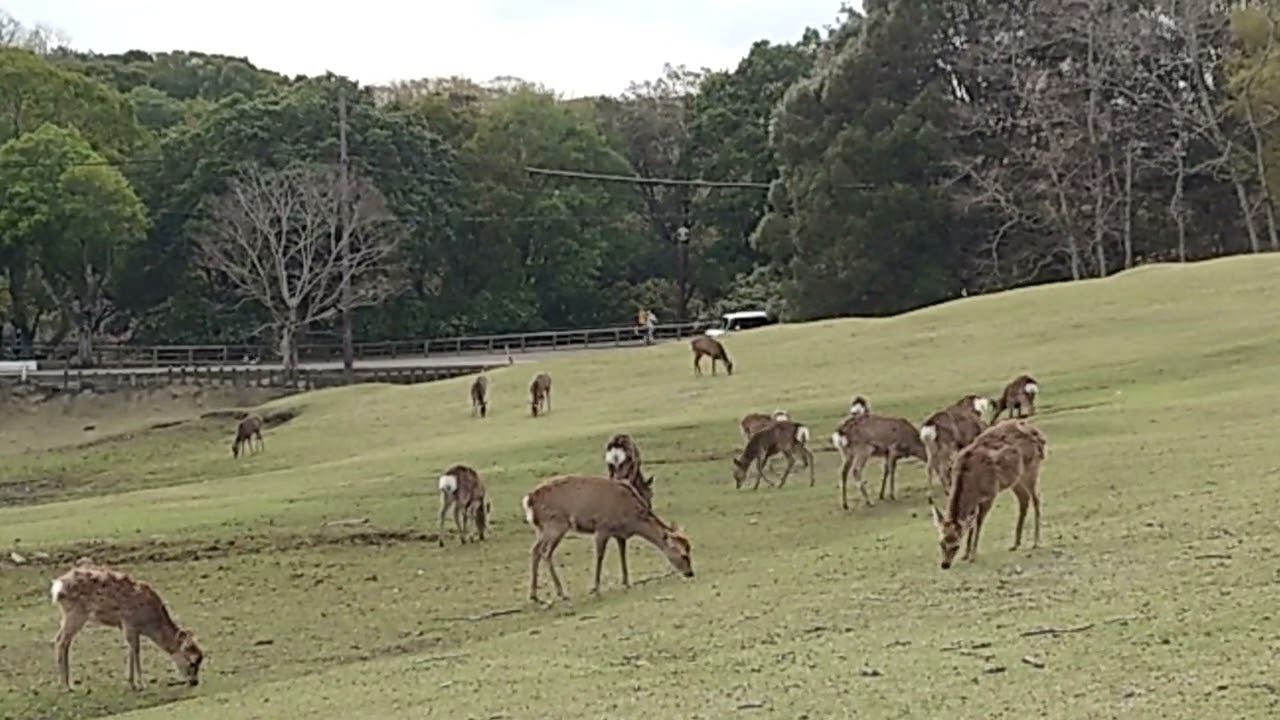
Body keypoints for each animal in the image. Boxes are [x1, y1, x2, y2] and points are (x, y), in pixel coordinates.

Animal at [50, 565, 204, 691]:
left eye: (200, 659)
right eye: (192, 662)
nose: (195, 682)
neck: (150, 623)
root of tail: (57, 587)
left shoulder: (129, 628)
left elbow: (130, 650)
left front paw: (132, 683)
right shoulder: (129, 622)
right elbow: (136, 650)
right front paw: (141, 683)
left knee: (64, 641)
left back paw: (66, 683)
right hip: (75, 613)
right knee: (61, 640)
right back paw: (66, 686)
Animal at [522, 474, 693, 603]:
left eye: (689, 550)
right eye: (683, 555)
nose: (690, 573)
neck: (631, 520)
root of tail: (529, 500)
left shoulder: (619, 533)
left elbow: (623, 553)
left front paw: (626, 582)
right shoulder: (602, 527)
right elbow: (600, 556)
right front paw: (596, 588)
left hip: (541, 528)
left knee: (535, 550)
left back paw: (534, 595)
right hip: (556, 525)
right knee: (545, 552)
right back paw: (562, 593)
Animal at [928, 418, 1046, 569]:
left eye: (956, 546)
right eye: (941, 543)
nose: (945, 564)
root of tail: (1039, 436)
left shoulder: (990, 494)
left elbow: (978, 522)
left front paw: (972, 555)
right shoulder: (975, 501)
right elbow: (970, 524)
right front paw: (966, 554)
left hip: (1032, 468)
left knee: (1036, 498)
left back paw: (1036, 542)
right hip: (1015, 479)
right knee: (1024, 499)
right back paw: (1015, 543)